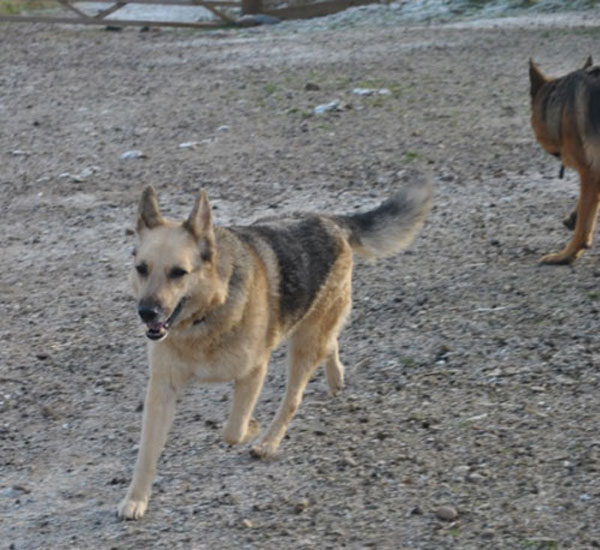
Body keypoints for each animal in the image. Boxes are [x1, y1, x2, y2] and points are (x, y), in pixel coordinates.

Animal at [116, 180, 432, 520]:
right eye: (142, 268)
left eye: (178, 272)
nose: (146, 312)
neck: (207, 316)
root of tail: (329, 221)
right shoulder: (162, 388)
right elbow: (147, 451)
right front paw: (135, 500)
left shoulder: (252, 373)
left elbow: (233, 430)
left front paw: (253, 428)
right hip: (312, 330)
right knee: (330, 341)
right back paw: (335, 376)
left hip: (303, 345)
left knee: (294, 396)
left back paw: (268, 442)